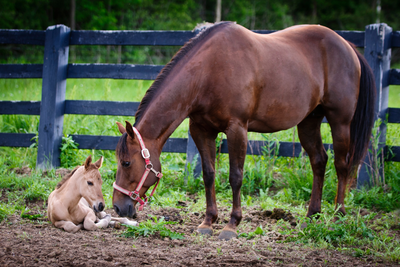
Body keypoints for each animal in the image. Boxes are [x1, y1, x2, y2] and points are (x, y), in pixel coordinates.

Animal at [111, 22, 376, 242]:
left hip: (340, 121)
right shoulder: (201, 130)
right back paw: (311, 216)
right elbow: (209, 174)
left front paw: (232, 225)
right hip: (309, 122)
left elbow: (235, 176)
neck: (208, 71)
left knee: (342, 166)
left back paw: (338, 215)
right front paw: (208, 222)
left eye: (126, 162)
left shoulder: (237, 128)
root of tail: (348, 46)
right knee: (319, 161)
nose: (117, 207)